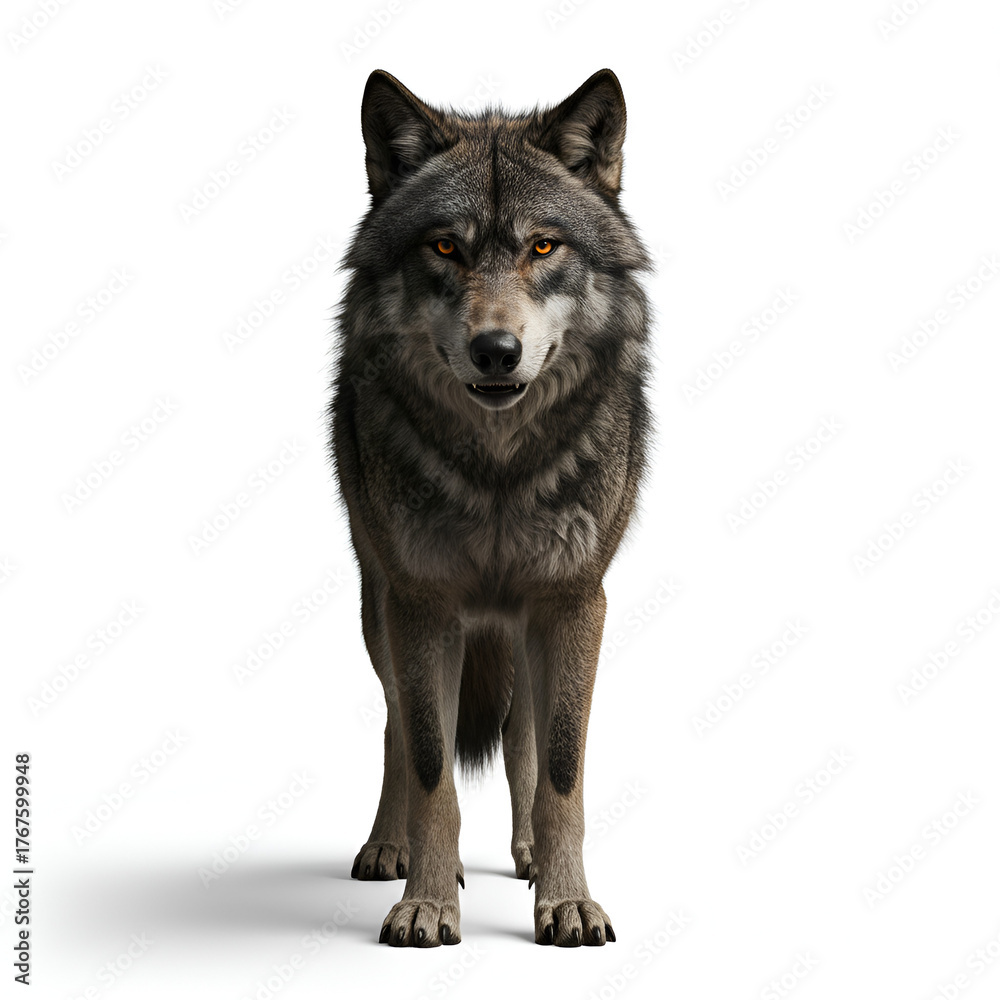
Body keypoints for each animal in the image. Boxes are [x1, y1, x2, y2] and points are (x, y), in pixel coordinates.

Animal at [329, 68, 651, 947]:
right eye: (446, 246)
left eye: (544, 245)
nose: (496, 351)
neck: (499, 472)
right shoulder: (423, 604)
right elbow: (431, 767)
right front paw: (428, 902)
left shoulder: (575, 600)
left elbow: (563, 770)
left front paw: (568, 902)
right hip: (379, 608)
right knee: (396, 725)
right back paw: (389, 847)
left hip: (528, 628)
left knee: (522, 735)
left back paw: (530, 853)